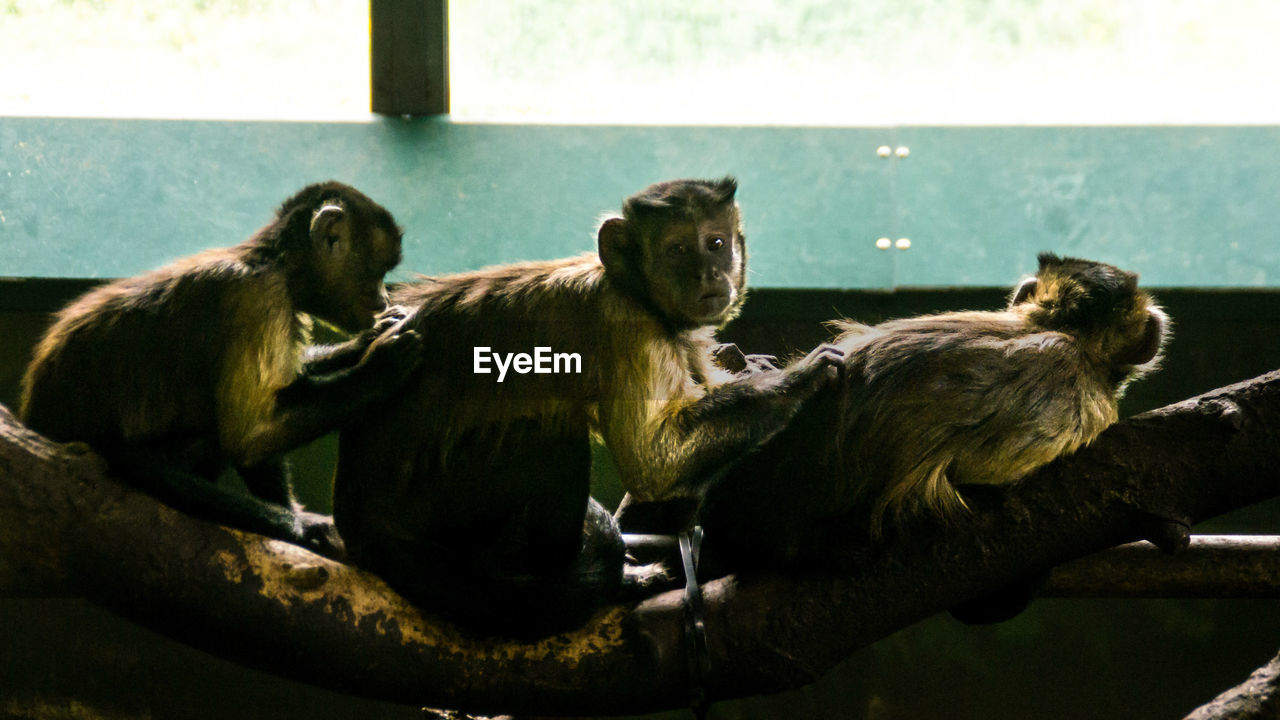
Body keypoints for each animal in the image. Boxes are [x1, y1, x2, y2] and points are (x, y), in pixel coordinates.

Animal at [18, 180, 419, 556]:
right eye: (378, 272)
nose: (383, 299)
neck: (273, 265)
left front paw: (365, 341)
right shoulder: (257, 299)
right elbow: (247, 435)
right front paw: (379, 368)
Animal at [335, 178, 844, 632]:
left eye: (715, 243)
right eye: (678, 250)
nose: (708, 272)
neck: (634, 290)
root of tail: (358, 516)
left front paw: (750, 364)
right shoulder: (627, 325)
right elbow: (653, 462)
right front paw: (799, 378)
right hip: (433, 508)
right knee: (553, 438)